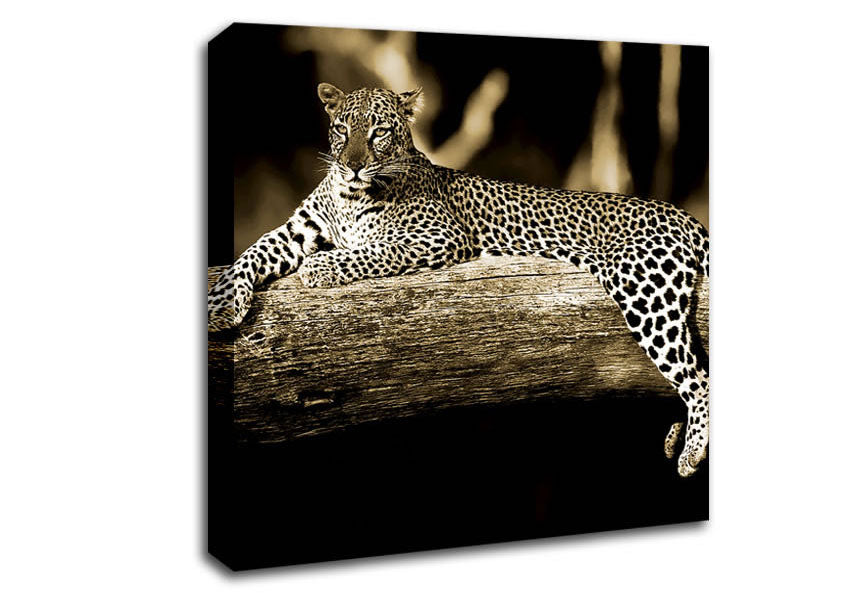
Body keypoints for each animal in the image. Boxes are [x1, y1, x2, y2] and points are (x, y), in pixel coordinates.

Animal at [207, 83, 710, 478]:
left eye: (378, 132)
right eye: (342, 129)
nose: (351, 166)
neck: (349, 197)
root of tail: (686, 215)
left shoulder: (439, 235)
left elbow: (372, 251)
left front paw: (319, 268)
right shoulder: (296, 230)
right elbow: (253, 250)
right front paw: (221, 303)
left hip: (642, 287)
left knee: (698, 377)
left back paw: (691, 452)